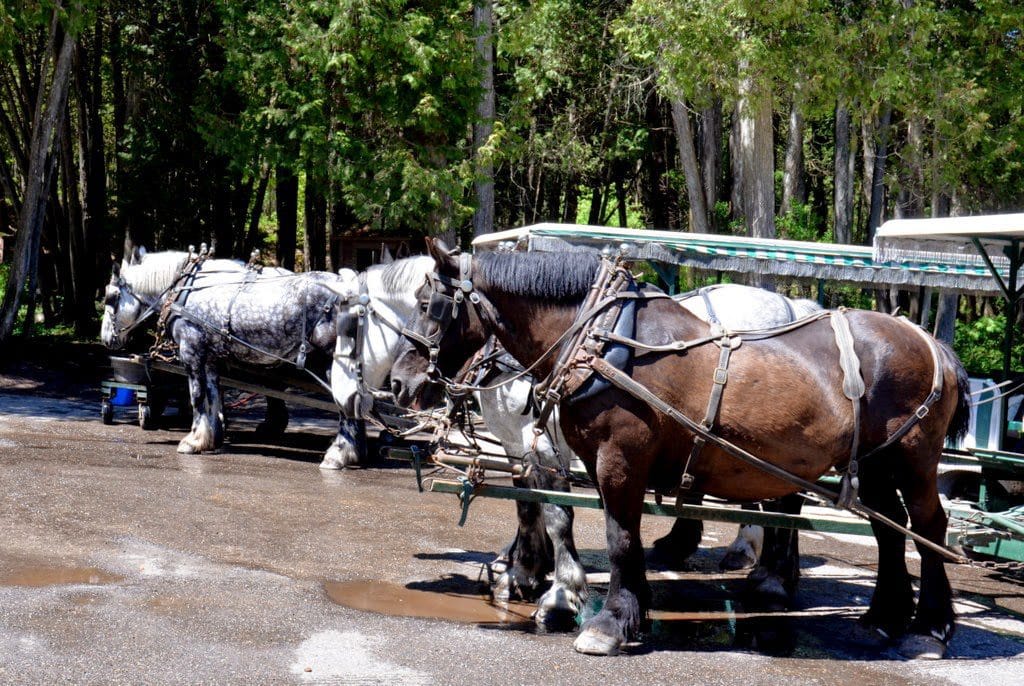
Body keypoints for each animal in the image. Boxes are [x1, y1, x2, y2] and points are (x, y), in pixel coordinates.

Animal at [389, 239, 966, 659]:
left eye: (427, 305)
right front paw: (618, 606)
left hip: (913, 460)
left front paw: (598, 618)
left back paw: (930, 624)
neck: (601, 341)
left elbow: (613, 534)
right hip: (874, 463)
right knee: (889, 530)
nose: (398, 382)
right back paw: (883, 618)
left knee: (927, 526)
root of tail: (929, 340)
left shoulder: (616, 459)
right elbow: (561, 515)